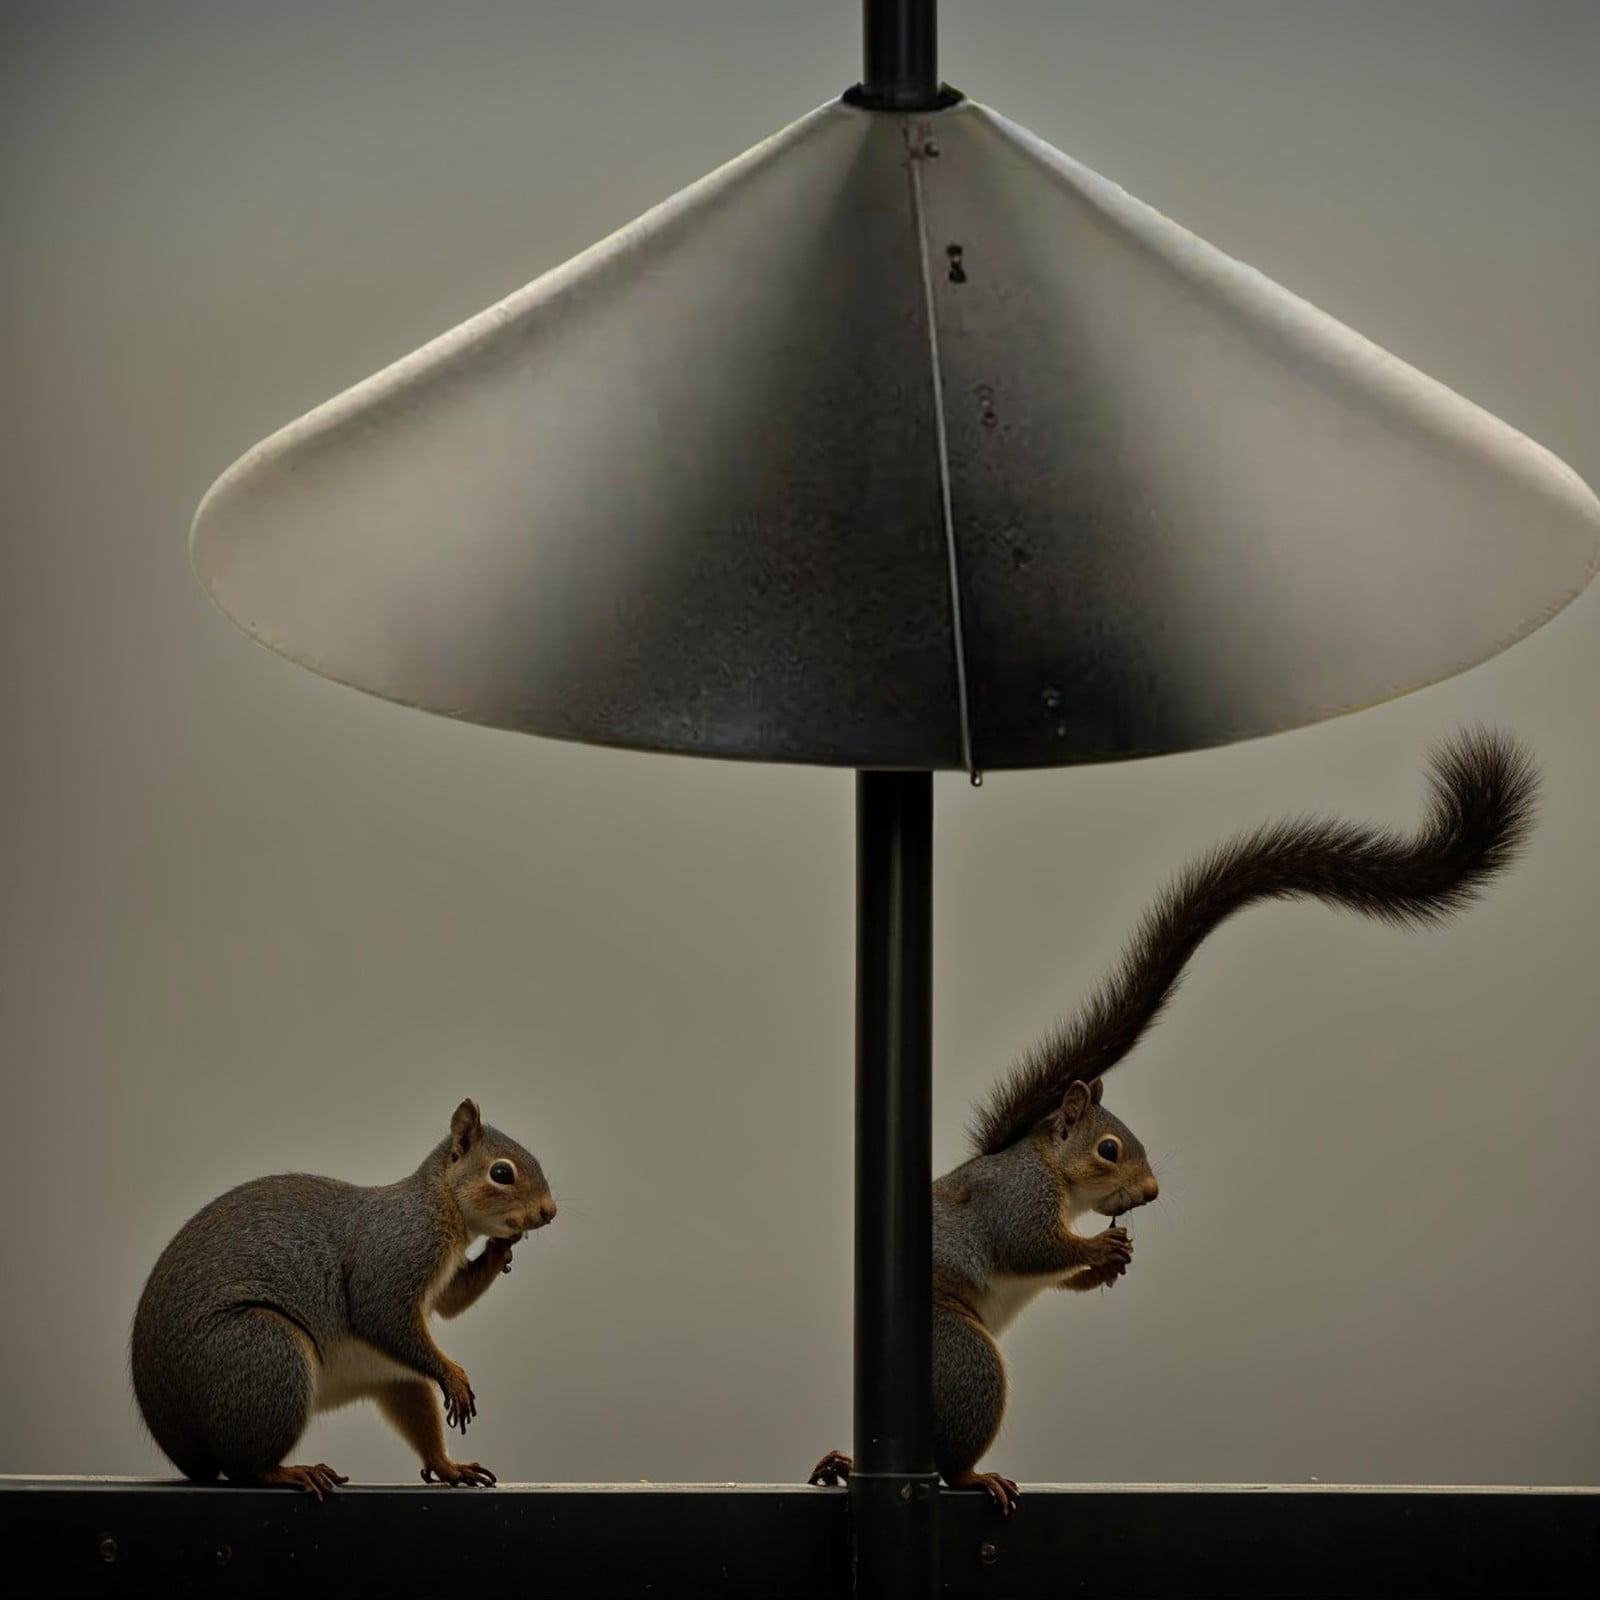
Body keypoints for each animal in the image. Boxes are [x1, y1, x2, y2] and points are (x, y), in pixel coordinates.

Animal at [130, 1098, 555, 1498]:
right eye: (501, 1173)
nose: (549, 1211)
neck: (441, 1202)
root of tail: (180, 1447)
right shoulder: (396, 1252)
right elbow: (379, 1313)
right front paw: (453, 1376)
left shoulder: (439, 1278)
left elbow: (450, 1302)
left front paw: (500, 1248)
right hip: (263, 1352)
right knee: (243, 1468)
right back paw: (287, 1472)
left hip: (385, 1372)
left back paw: (448, 1466)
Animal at [811, 729, 1536, 1513]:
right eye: (1108, 1148)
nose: (1153, 1194)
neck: (1054, 1172)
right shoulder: (1017, 1200)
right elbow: (1032, 1247)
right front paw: (1100, 1248)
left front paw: (1110, 1262)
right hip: (964, 1362)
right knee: (953, 1458)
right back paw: (972, 1475)